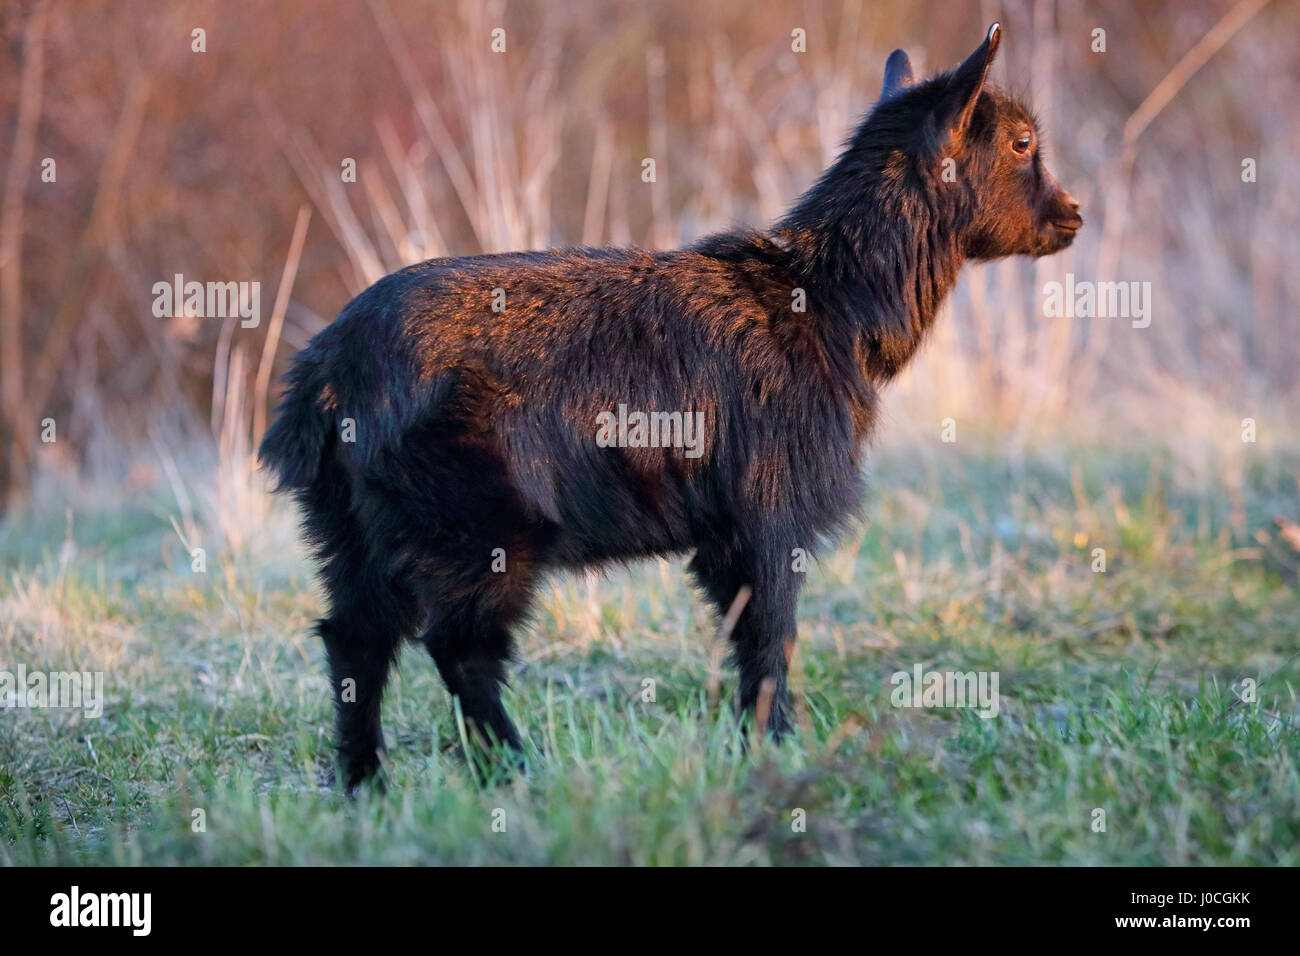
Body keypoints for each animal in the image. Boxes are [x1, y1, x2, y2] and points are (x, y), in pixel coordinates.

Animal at [261, 22, 1076, 790]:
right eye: (1021, 142)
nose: (1072, 213)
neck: (825, 303)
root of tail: (327, 377)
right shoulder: (767, 510)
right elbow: (769, 639)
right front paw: (774, 753)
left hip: (350, 529)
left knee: (355, 639)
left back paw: (366, 787)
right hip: (476, 526)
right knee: (460, 650)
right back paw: (516, 774)